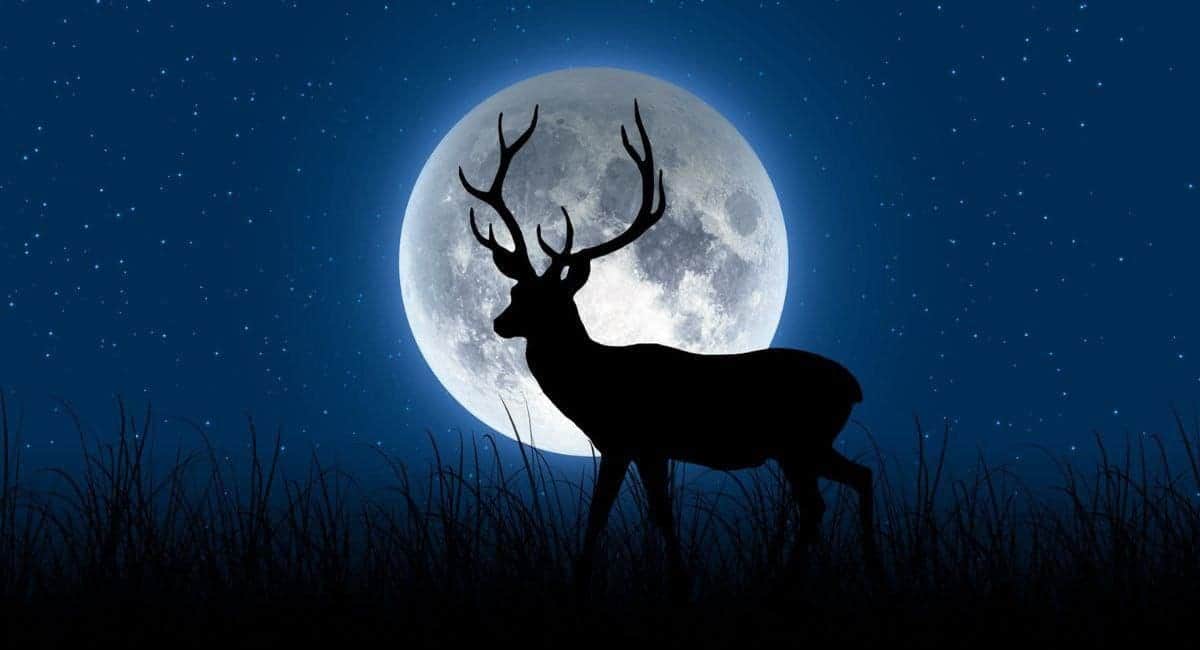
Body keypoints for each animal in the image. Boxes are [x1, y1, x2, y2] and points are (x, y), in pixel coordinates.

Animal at [457, 100, 881, 597]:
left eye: (547, 301)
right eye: (515, 291)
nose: (499, 323)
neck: (594, 382)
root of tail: (853, 387)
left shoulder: (634, 440)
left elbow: (629, 515)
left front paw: (658, 582)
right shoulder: (635, 447)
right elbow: (632, 515)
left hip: (799, 442)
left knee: (816, 505)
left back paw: (787, 583)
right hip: (809, 445)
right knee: (859, 478)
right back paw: (870, 568)